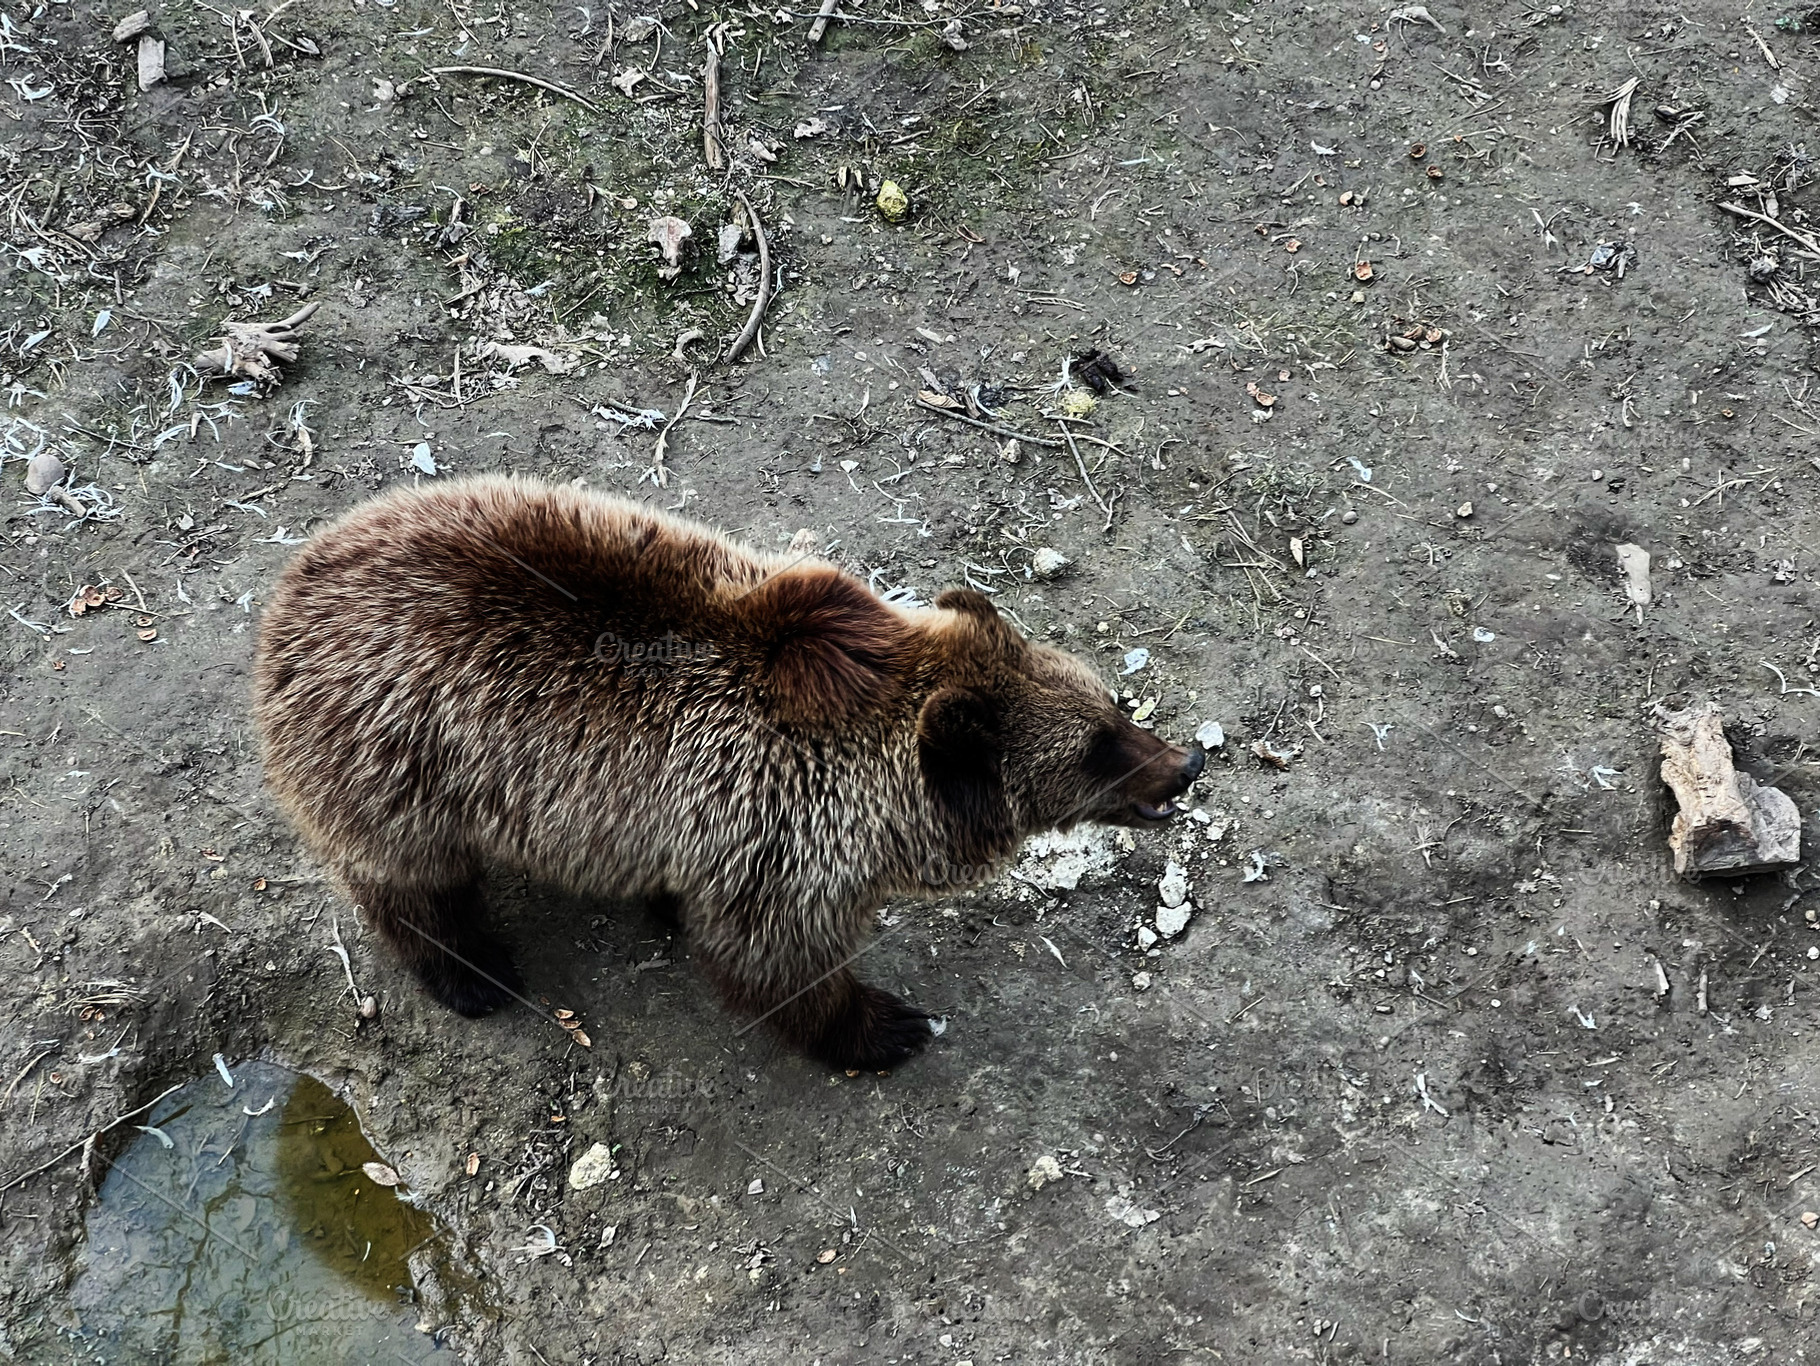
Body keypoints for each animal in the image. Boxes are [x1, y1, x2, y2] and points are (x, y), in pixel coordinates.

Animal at [252, 476, 1204, 1069]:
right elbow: (776, 958)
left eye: (1115, 705)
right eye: (1097, 748)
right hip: (396, 758)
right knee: (410, 882)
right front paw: (884, 1026)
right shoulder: (778, 829)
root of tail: (291, 590)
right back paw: (474, 974)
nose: (1186, 764)